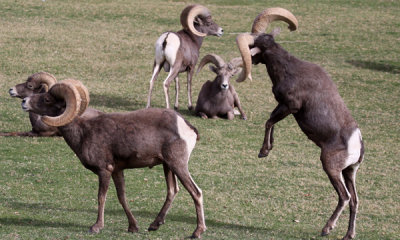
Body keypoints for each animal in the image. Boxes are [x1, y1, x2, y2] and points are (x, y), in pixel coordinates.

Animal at [21, 79, 206, 238]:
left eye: (46, 99)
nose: (24, 101)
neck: (83, 132)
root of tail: (187, 126)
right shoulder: (117, 170)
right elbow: (121, 197)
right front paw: (133, 227)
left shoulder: (104, 170)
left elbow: (101, 197)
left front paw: (96, 227)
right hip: (167, 166)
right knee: (172, 191)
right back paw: (154, 225)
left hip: (177, 165)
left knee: (196, 192)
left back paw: (197, 232)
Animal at [236, 7, 364, 240]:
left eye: (252, 47)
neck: (288, 69)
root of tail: (357, 143)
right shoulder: (284, 107)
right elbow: (271, 121)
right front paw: (268, 148)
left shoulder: (290, 106)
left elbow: (269, 121)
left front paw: (264, 151)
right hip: (349, 172)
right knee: (355, 201)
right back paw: (348, 235)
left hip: (331, 167)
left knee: (345, 197)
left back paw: (326, 228)